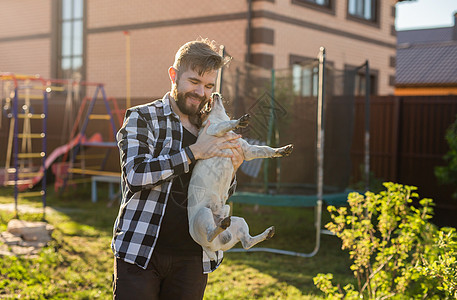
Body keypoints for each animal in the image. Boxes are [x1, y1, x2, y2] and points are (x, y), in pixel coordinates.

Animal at [188, 92, 292, 258]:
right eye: (204, 108)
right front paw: (239, 121)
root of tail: (210, 248)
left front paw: (281, 150)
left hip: (239, 222)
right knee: (211, 233)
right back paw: (220, 226)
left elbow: (266, 149)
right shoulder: (214, 129)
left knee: (246, 243)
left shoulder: (248, 151)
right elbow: (226, 124)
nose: (214, 92)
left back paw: (266, 233)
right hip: (204, 213)